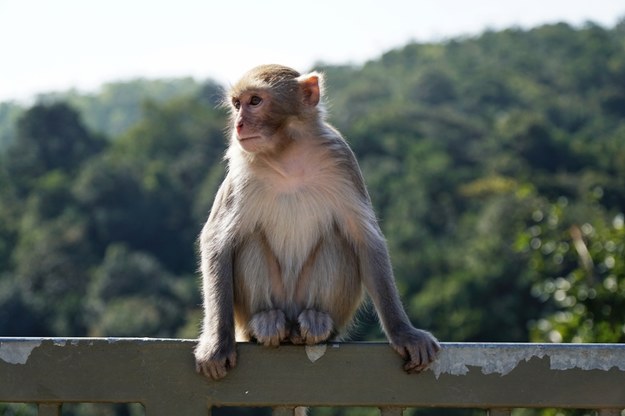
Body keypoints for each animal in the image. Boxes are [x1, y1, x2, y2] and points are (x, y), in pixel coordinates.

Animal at [195, 64, 438, 380]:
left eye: (255, 101)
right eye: (237, 104)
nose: (239, 124)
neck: (287, 156)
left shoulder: (342, 160)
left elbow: (367, 240)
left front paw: (403, 332)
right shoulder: (241, 174)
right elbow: (216, 242)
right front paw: (217, 343)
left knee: (337, 240)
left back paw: (316, 321)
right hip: (253, 308)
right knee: (252, 242)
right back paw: (266, 321)